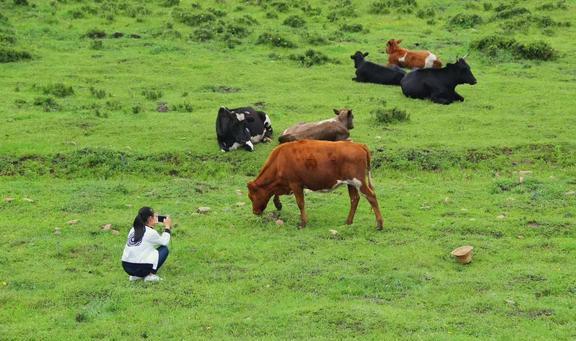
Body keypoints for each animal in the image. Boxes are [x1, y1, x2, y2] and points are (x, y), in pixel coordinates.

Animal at [246, 139, 382, 230]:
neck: (279, 160)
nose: (255, 212)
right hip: (351, 183)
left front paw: (303, 223)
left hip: (359, 182)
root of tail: (358, 145)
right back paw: (348, 222)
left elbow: (300, 203)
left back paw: (379, 225)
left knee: (371, 196)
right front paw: (278, 204)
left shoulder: (295, 184)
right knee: (354, 199)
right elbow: (276, 194)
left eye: (252, 196)